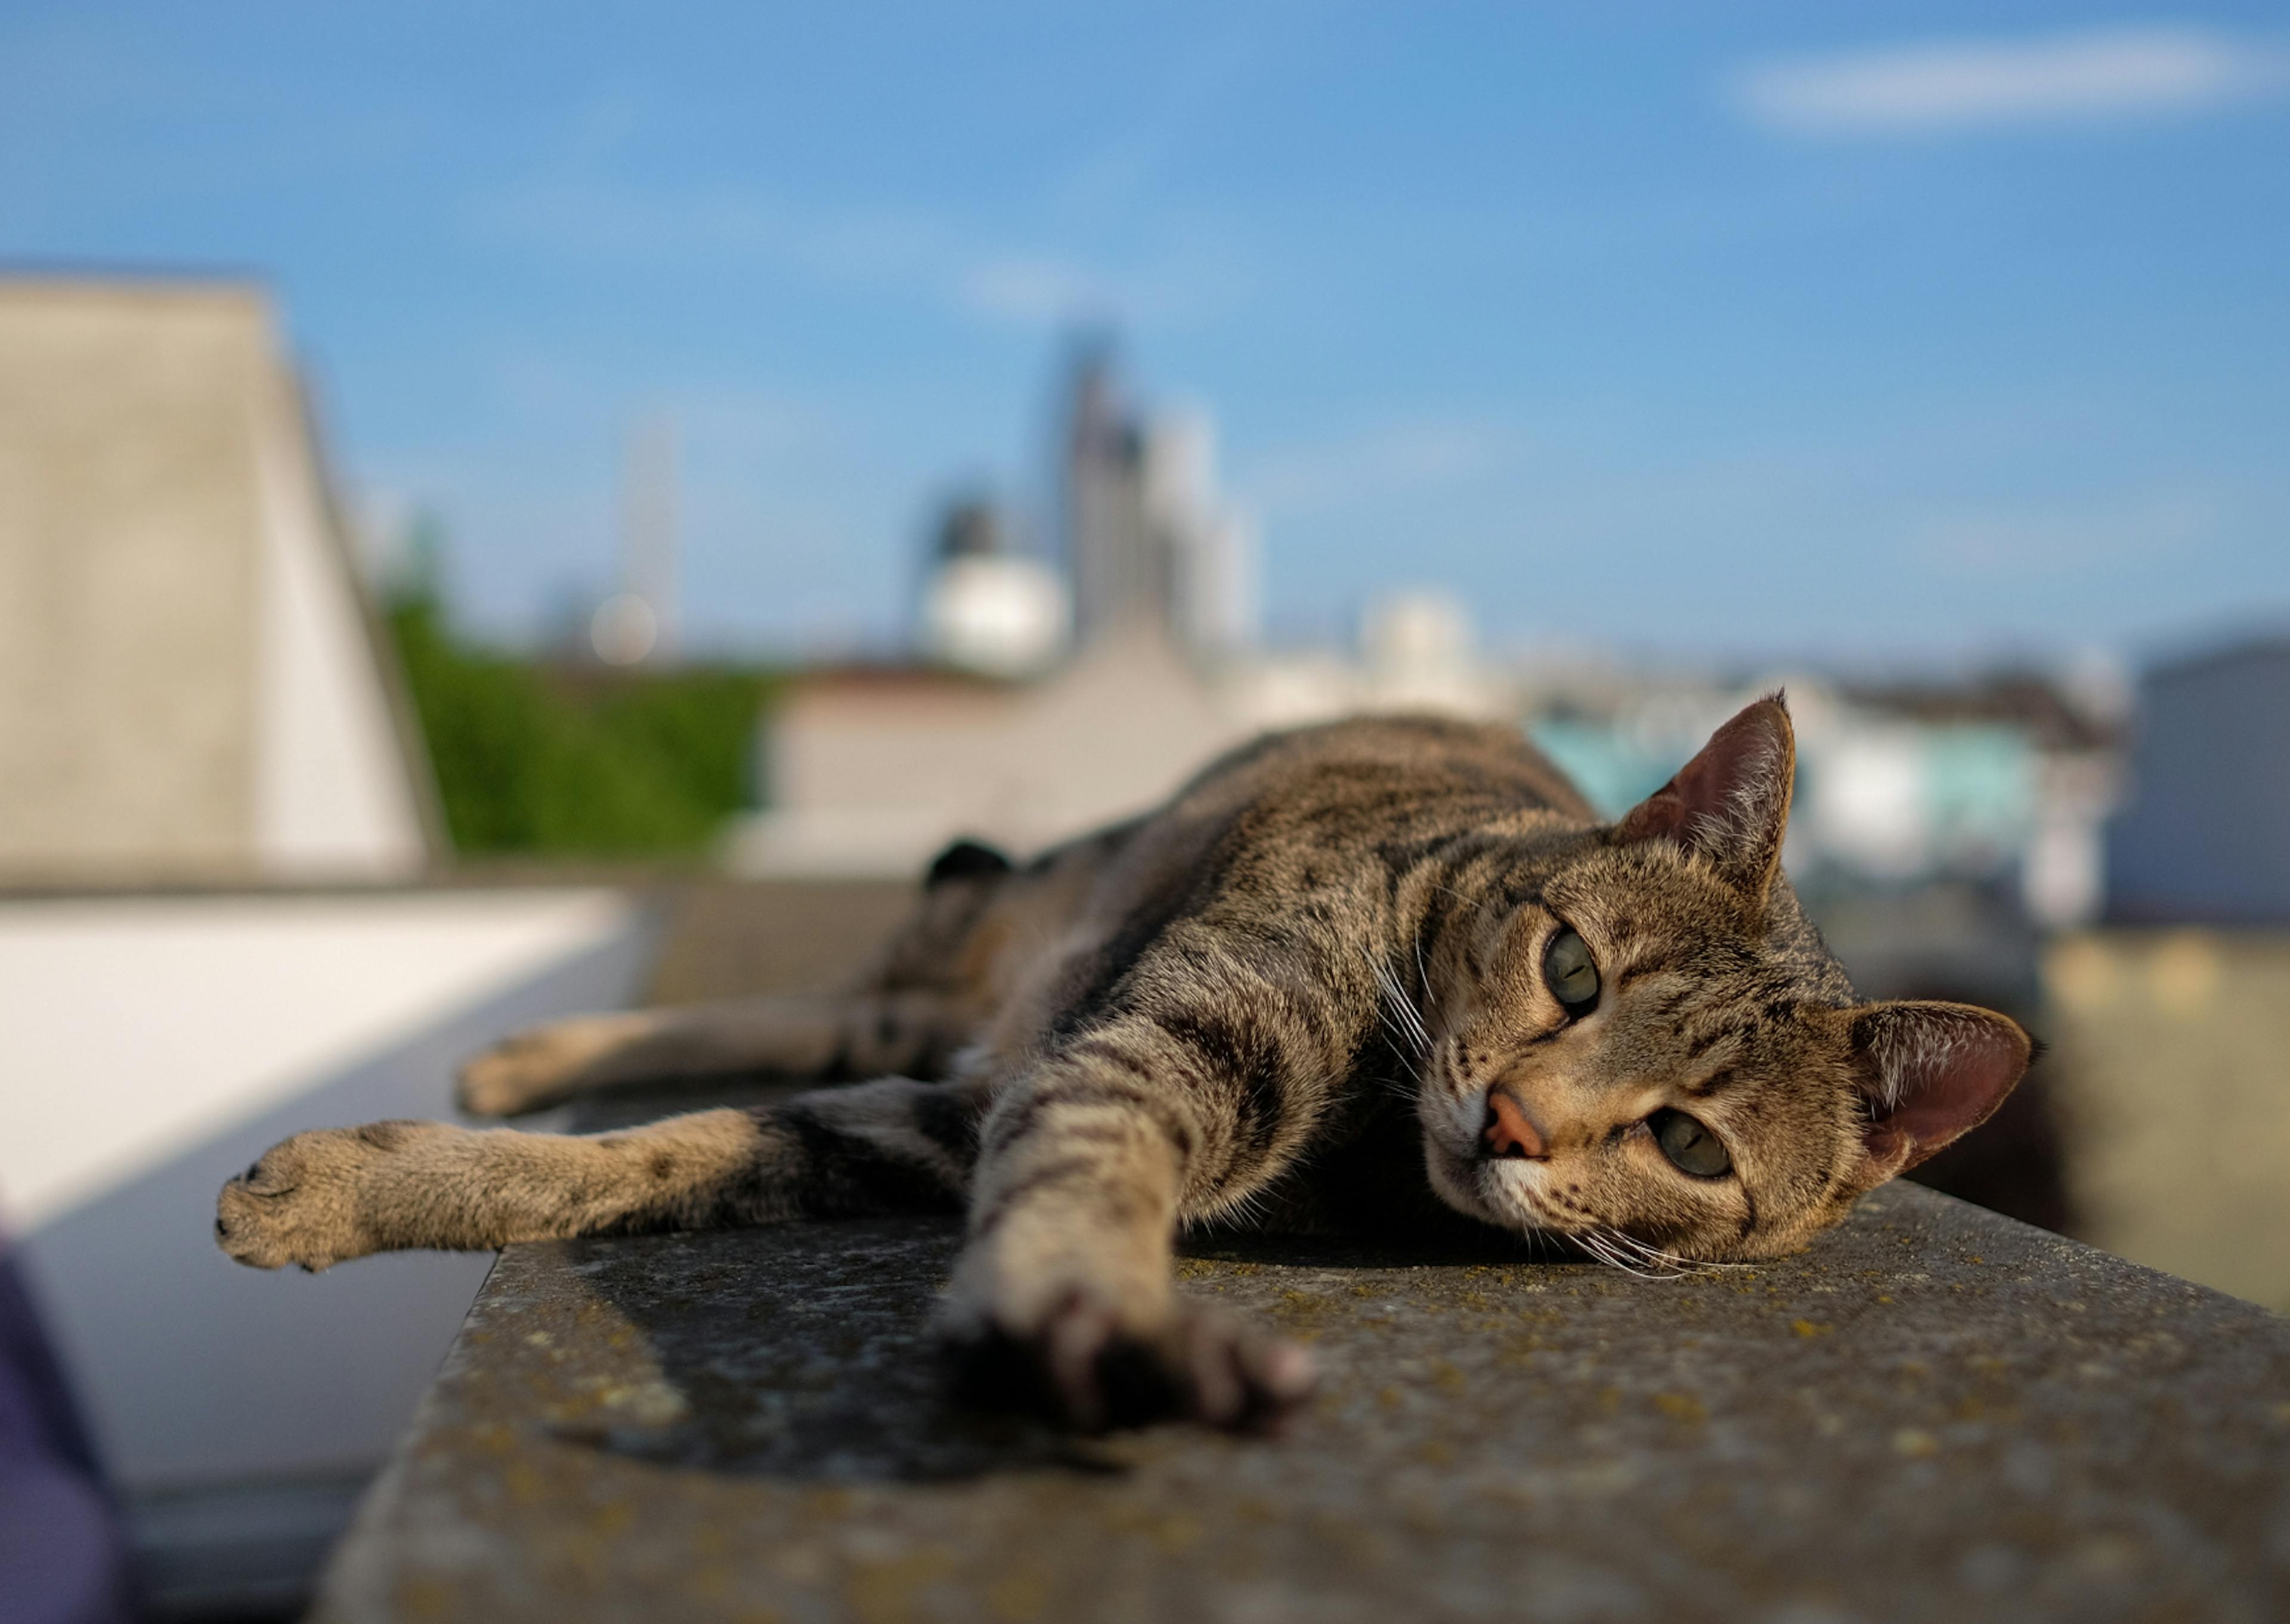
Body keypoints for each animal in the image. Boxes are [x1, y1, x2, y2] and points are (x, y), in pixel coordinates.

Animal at [218, 696, 2024, 1429]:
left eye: (1692, 1147)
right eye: (1570, 969)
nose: (1511, 1117)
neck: (1373, 1142)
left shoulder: (958, 1110)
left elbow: (694, 1153)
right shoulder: (1156, 1035)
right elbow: (680, 1142)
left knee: (826, 1017)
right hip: (1002, 918)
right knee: (832, 986)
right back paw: (537, 1048)